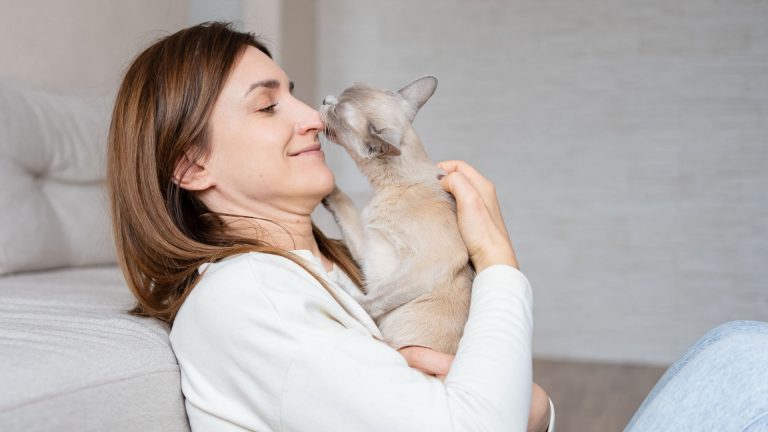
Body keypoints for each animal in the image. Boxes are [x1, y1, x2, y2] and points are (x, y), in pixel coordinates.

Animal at [318, 77, 474, 354]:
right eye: (340, 95)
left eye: (338, 111)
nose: (326, 100)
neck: (389, 186)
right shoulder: (368, 250)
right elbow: (345, 203)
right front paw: (326, 186)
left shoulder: (438, 259)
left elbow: (371, 299)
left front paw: (339, 286)